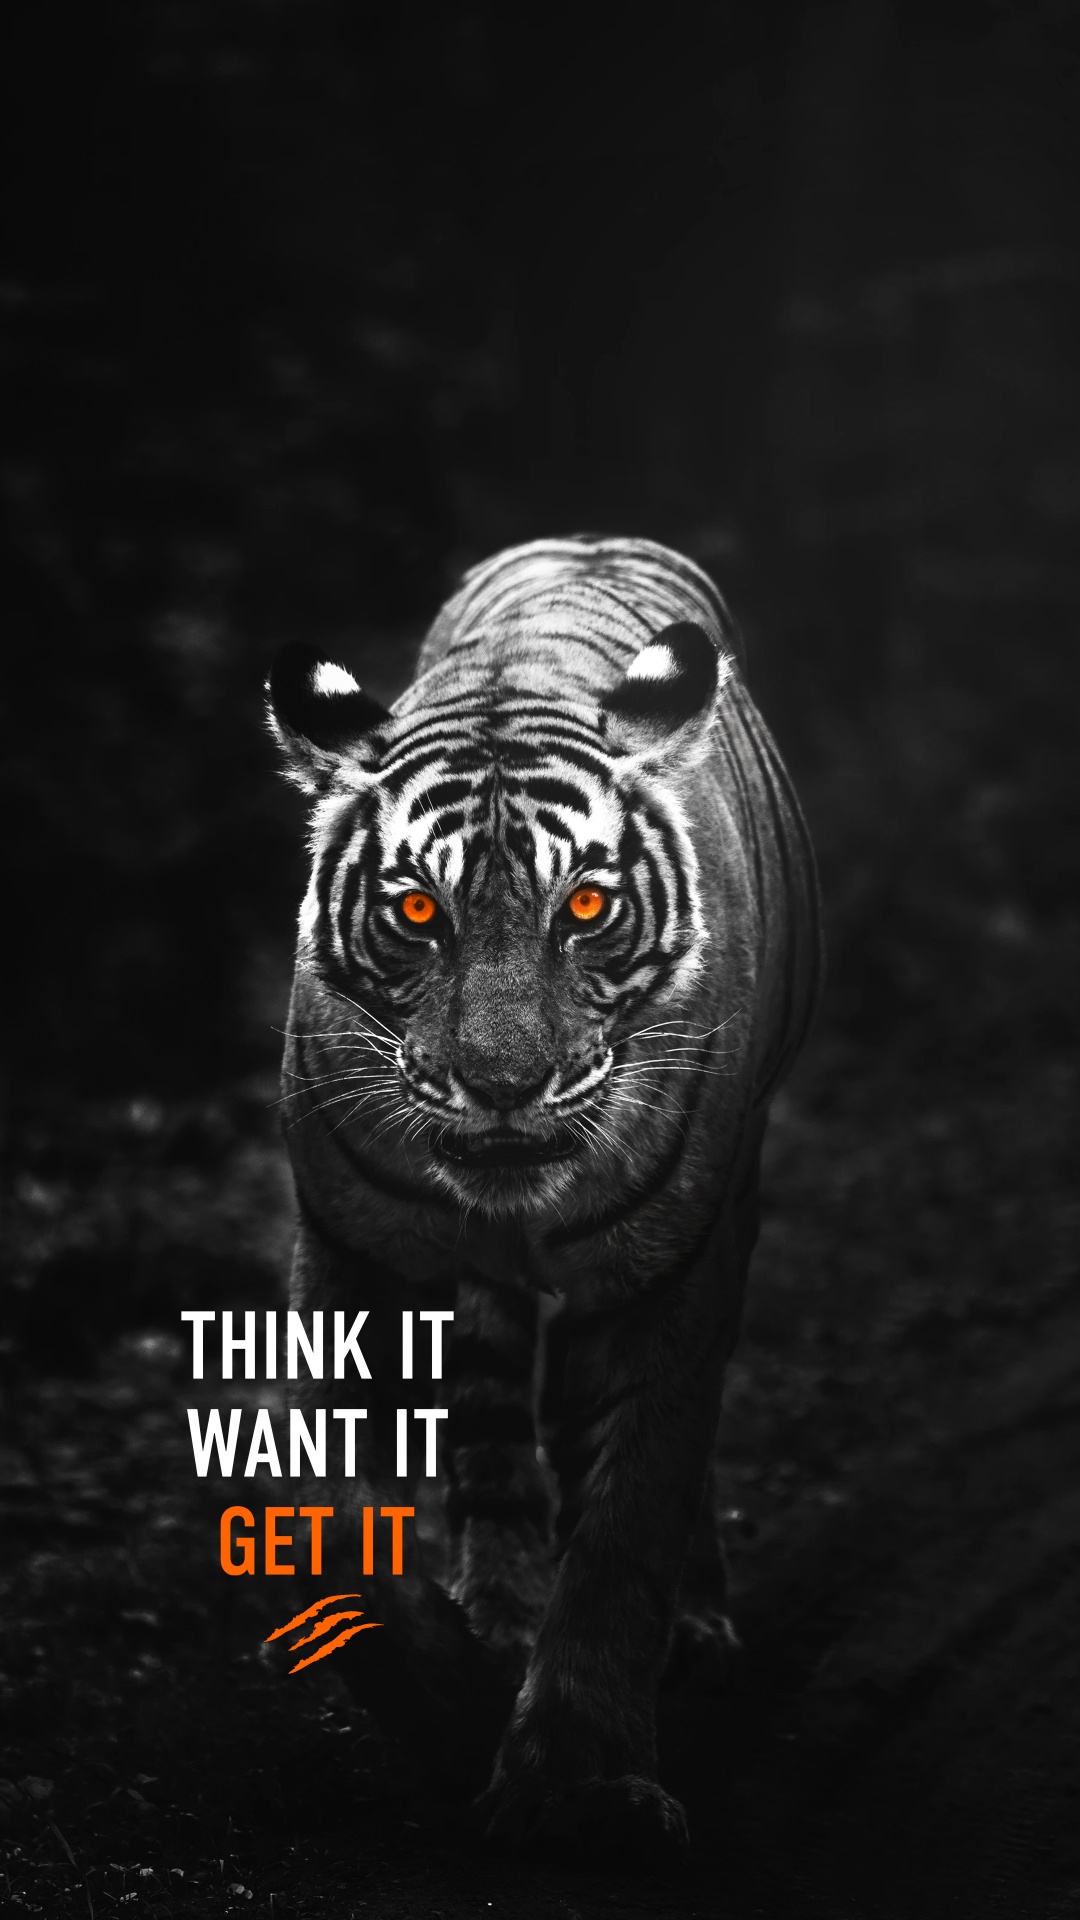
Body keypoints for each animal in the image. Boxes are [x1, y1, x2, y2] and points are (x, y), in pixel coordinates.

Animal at [266, 534, 823, 1858]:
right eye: (419, 911)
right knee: (488, 1412)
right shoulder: (350, 1249)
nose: (503, 1085)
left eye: (586, 906)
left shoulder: (673, 1269)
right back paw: (503, 1605)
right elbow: (336, 1522)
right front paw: (451, 1711)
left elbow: (630, 1512)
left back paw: (688, 1624)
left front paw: (578, 1784)